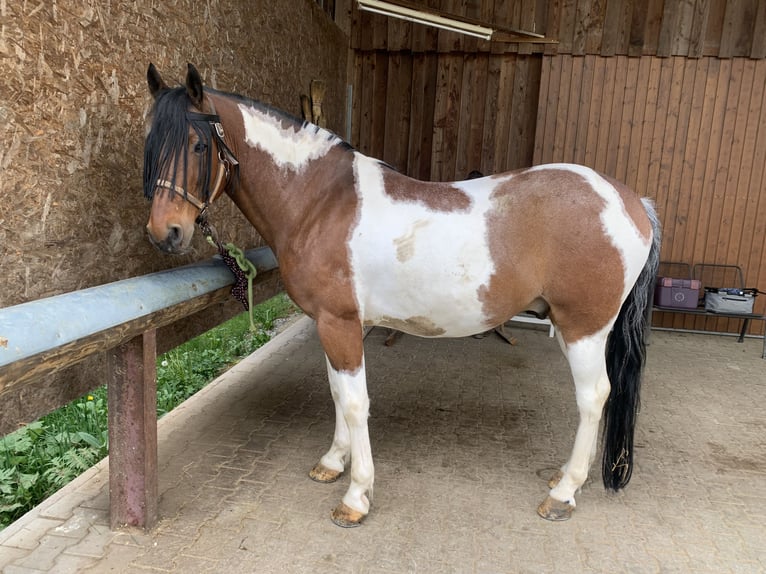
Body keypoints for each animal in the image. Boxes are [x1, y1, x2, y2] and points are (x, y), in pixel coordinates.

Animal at [147, 62, 664, 528]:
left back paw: (563, 492)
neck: (319, 203)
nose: (164, 233)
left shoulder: (339, 323)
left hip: (583, 328)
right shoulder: (334, 326)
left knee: (593, 397)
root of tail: (633, 202)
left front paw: (356, 496)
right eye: (150, 145)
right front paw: (333, 463)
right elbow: (337, 392)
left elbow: (355, 403)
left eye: (197, 145)